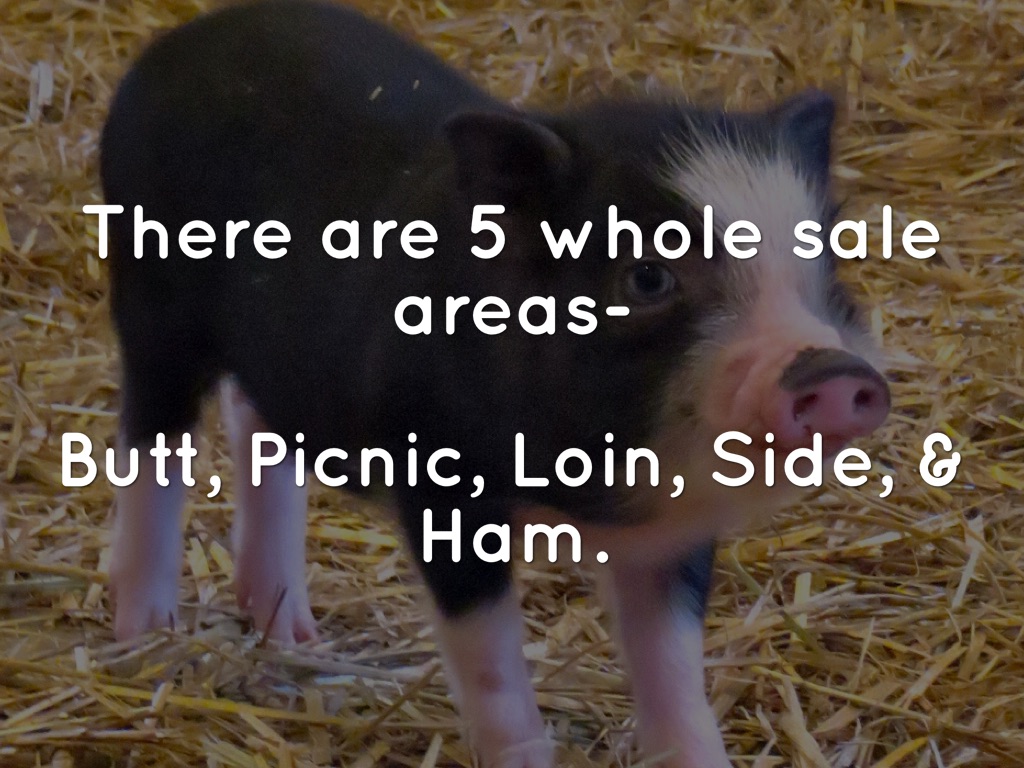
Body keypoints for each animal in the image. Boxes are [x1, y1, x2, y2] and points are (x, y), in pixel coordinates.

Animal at [97, 1, 891, 766]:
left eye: (824, 259)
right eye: (648, 276)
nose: (833, 370)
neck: (582, 493)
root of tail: (172, 45)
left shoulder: (670, 533)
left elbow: (674, 678)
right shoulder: (440, 484)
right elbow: (496, 673)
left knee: (254, 420)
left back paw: (293, 634)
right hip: (151, 301)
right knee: (150, 445)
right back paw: (143, 641)